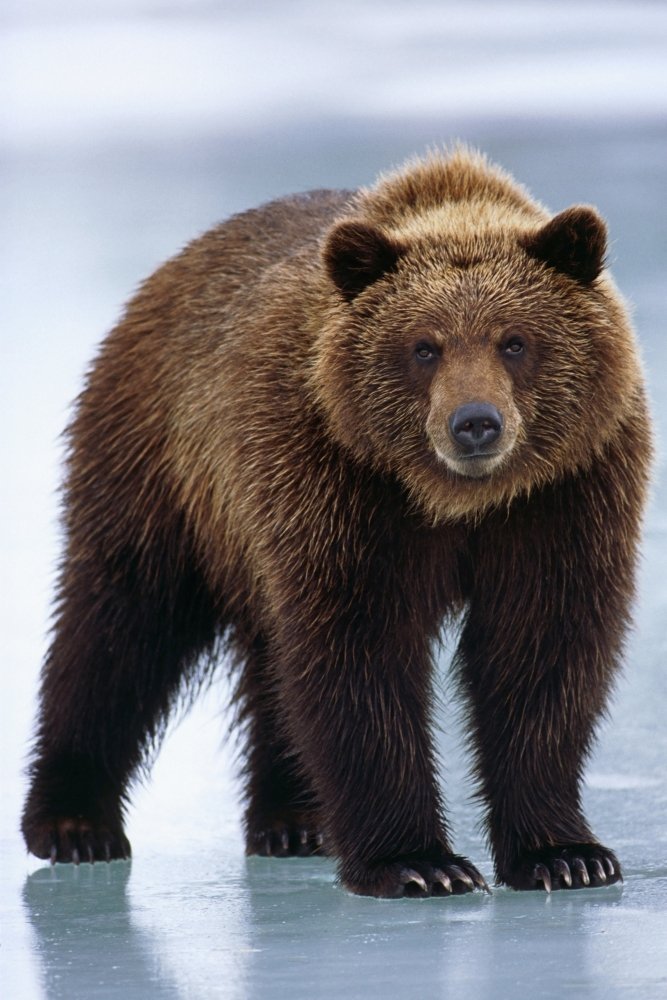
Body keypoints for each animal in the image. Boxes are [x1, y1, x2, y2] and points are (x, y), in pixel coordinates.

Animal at [22, 147, 652, 898]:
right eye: (424, 346)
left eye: (515, 341)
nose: (474, 423)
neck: (455, 502)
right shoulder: (339, 481)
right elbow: (359, 652)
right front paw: (419, 863)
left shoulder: (563, 495)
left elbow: (540, 650)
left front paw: (566, 854)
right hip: (162, 464)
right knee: (120, 627)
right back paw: (74, 824)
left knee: (261, 656)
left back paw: (293, 820)